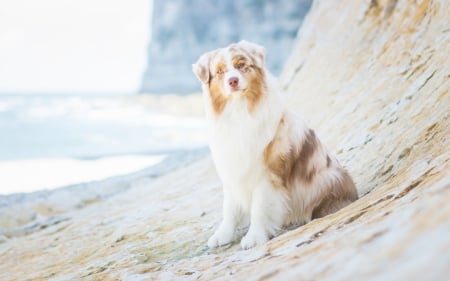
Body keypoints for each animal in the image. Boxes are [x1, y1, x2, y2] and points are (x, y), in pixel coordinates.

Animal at [192, 40, 356, 248]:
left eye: (241, 65)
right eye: (220, 72)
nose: (233, 81)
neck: (240, 111)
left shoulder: (267, 174)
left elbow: (259, 209)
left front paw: (254, 237)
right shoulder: (232, 170)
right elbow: (229, 209)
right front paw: (223, 235)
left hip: (327, 178)